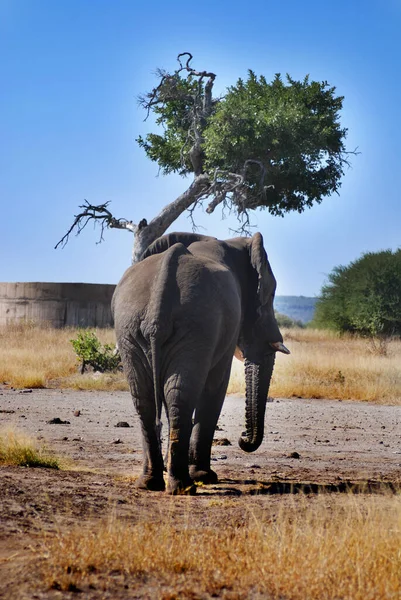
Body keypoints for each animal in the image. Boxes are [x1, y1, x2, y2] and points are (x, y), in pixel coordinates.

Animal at [111, 232, 290, 494]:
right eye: (270, 296)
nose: (242, 437)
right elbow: (217, 385)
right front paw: (206, 476)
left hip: (130, 326)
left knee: (149, 397)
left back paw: (151, 483)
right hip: (196, 324)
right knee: (182, 394)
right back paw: (183, 486)